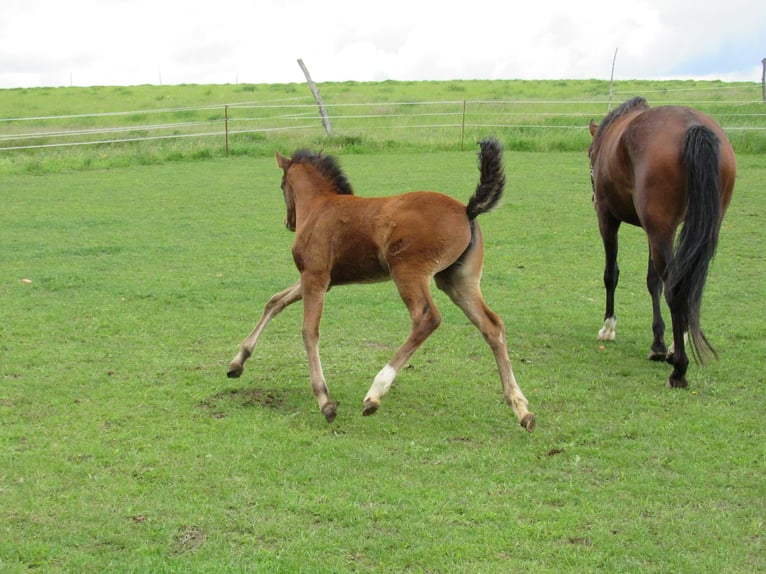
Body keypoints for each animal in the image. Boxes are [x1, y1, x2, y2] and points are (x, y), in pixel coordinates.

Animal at [227, 138, 535, 431]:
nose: (289, 222)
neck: (319, 207)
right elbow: (275, 300)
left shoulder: (315, 276)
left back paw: (375, 393)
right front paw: (236, 363)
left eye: (282, 186)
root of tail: (467, 210)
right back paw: (521, 409)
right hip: (457, 280)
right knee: (492, 326)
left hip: (409, 273)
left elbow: (308, 331)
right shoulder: (319, 280)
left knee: (427, 318)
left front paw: (325, 402)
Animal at [588, 96, 736, 388]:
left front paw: (608, 327)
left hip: (658, 229)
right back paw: (676, 348)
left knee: (676, 288)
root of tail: (693, 125)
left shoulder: (608, 218)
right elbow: (652, 281)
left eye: (590, 155)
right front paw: (657, 343)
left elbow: (611, 274)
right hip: (693, 229)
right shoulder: (653, 230)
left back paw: (679, 367)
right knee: (688, 284)